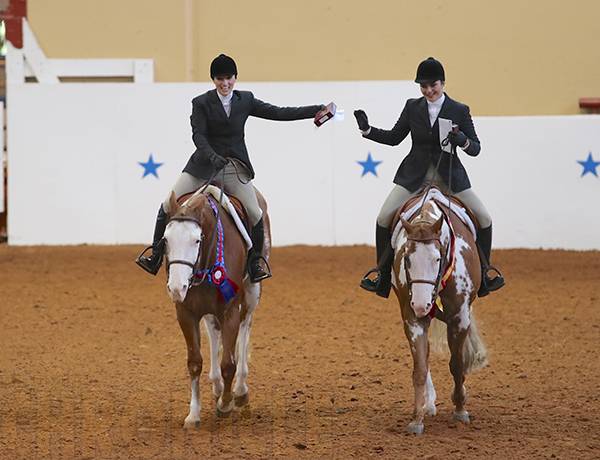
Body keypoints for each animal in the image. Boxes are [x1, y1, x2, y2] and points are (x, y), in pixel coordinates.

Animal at [162, 185, 270, 426]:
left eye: (196, 240)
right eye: (165, 239)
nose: (176, 288)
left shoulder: (230, 311)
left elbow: (228, 363)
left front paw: (226, 404)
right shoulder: (186, 312)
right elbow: (194, 362)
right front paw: (194, 413)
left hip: (251, 294)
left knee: (245, 327)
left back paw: (239, 391)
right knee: (213, 331)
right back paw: (218, 386)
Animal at [392, 188, 490, 434]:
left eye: (437, 258)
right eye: (406, 258)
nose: (421, 304)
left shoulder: (460, 317)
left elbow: (457, 365)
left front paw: (460, 408)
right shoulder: (412, 319)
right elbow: (419, 368)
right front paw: (416, 420)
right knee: (426, 356)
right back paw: (428, 404)